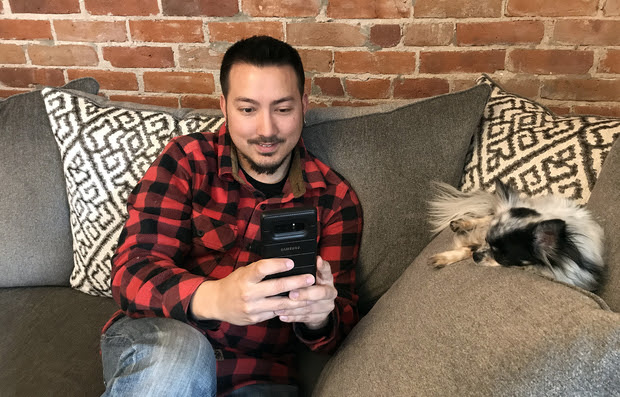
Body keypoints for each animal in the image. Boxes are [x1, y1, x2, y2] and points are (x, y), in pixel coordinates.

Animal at [426, 180, 604, 290]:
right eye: (487, 242)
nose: (476, 257)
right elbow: (468, 247)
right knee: (485, 218)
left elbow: (469, 248)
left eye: (504, 258)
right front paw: (445, 257)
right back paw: (460, 224)